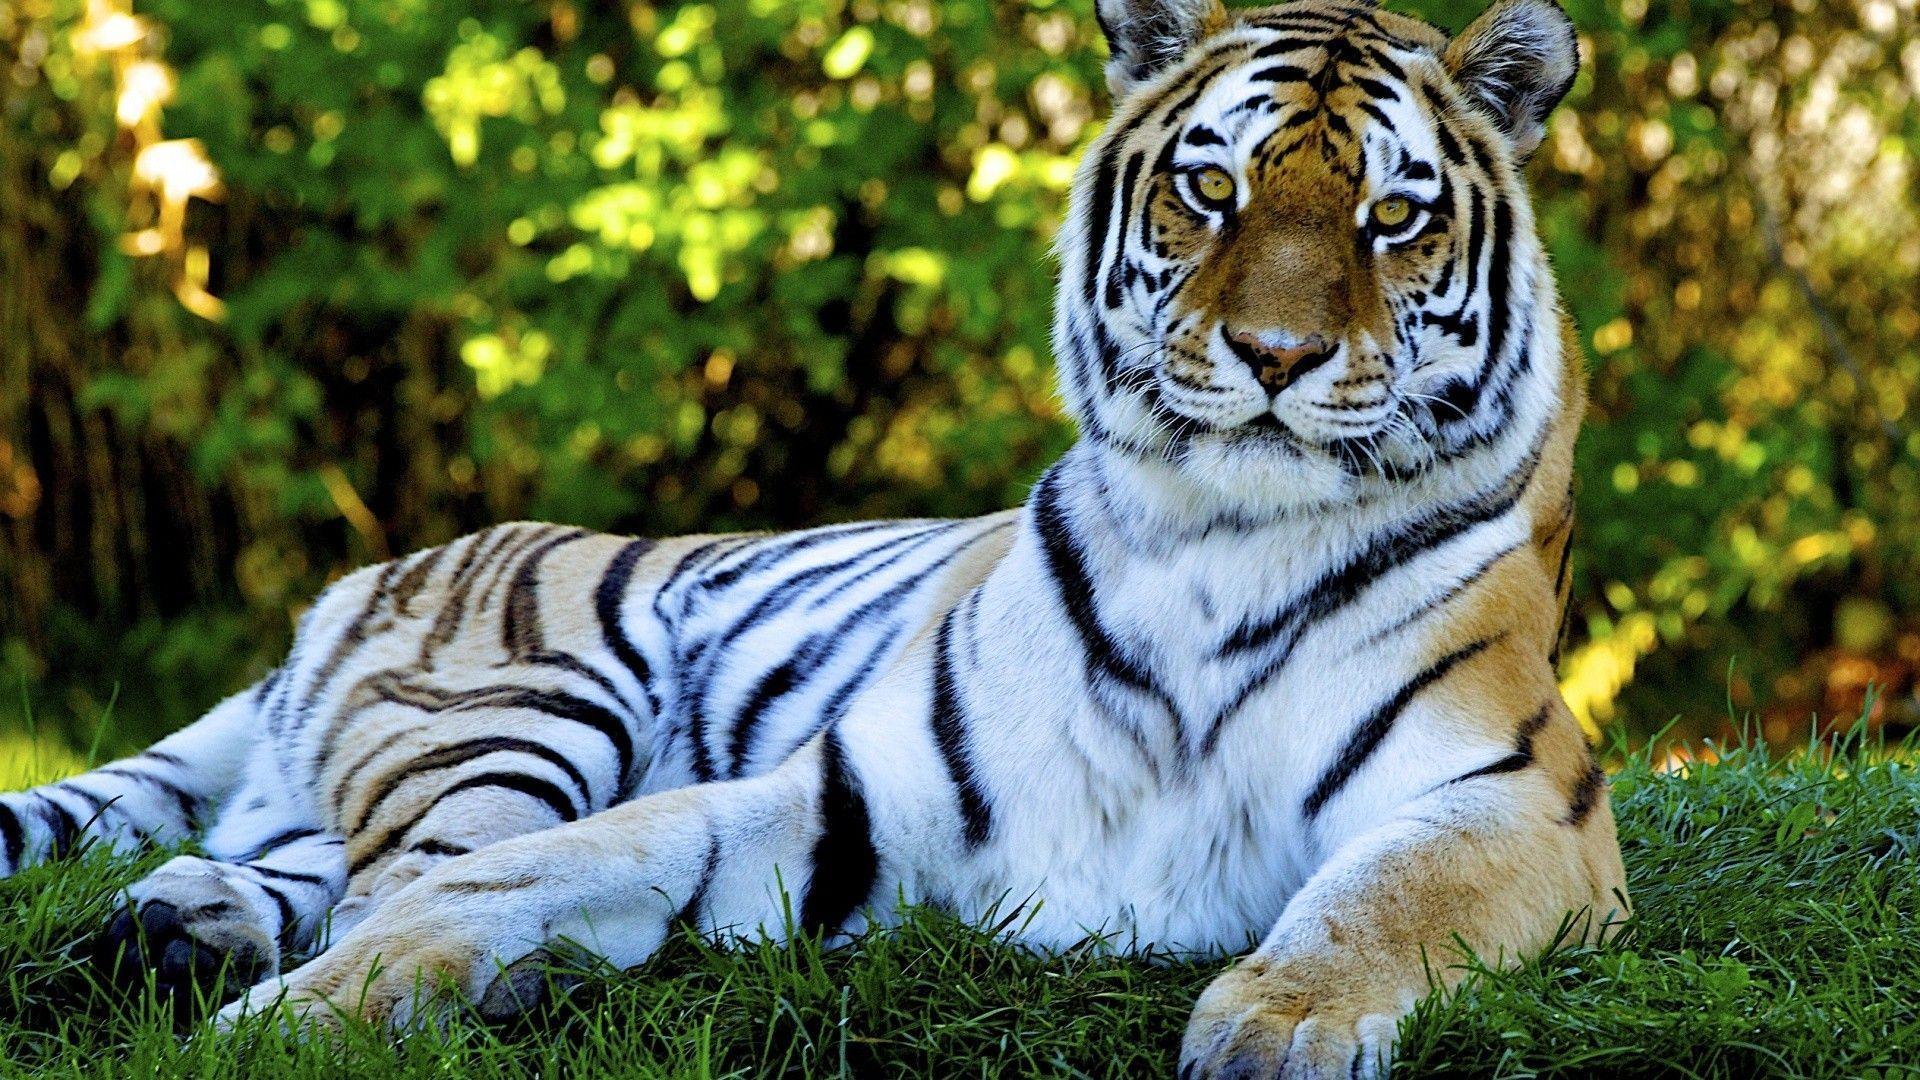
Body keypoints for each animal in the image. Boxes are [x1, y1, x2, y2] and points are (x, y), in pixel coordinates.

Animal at [0, 0, 1627, 1073]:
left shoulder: (1519, 803)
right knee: (386, 860)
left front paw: (1277, 1023)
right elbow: (554, 866)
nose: (1277, 355)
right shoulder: (852, 792)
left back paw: (180, 924)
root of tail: (353, 586)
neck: (1223, 541)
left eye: (1392, 216)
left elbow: (1387, 899)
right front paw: (337, 1004)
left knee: (291, 857)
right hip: (529, 704)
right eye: (1210, 187)